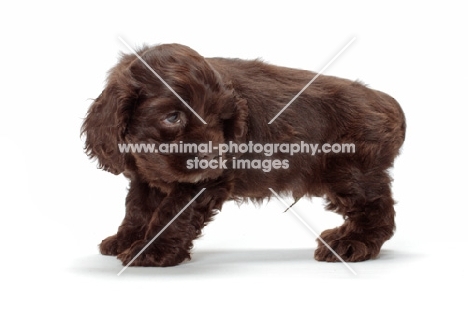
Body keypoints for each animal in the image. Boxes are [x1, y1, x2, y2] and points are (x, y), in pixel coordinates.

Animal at [81, 43, 406, 268]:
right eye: (172, 117)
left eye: (220, 118)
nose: (212, 158)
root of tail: (387, 101)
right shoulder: (145, 175)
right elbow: (138, 208)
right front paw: (125, 239)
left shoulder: (203, 183)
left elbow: (171, 215)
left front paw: (150, 251)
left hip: (351, 172)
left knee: (377, 209)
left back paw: (350, 243)